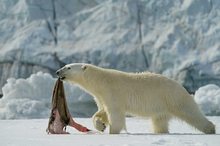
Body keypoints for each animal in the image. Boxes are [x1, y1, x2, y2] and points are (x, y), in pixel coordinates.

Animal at [55, 63, 216, 134]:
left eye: (68, 67)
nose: (57, 72)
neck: (100, 80)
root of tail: (181, 86)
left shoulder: (112, 91)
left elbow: (115, 113)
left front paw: (113, 131)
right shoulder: (100, 95)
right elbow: (102, 110)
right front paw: (101, 125)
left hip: (173, 97)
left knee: (191, 113)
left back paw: (211, 129)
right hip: (161, 107)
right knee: (159, 122)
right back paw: (160, 132)